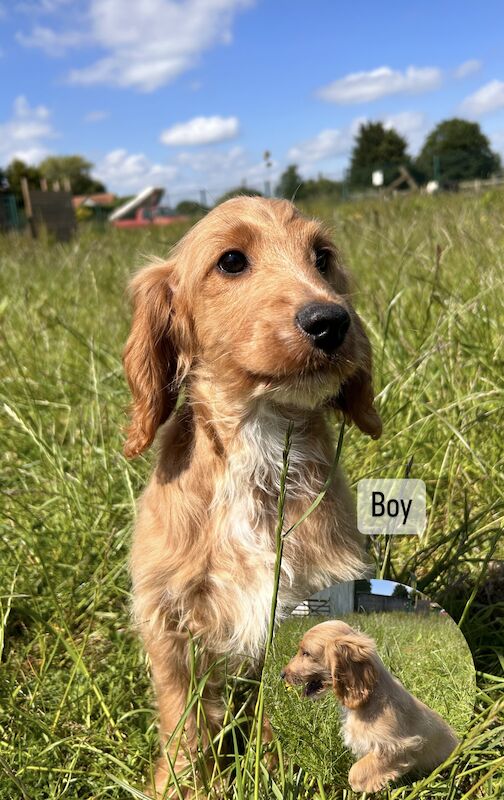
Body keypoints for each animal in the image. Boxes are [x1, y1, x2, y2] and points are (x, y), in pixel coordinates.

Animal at [123, 198, 382, 792]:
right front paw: (181, 786)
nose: (331, 322)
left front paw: (274, 776)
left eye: (323, 257)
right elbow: (183, 717)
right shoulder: (168, 619)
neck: (260, 441)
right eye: (232, 261)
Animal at [282, 620, 458, 792]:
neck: (370, 699)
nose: (281, 674)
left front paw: (364, 786)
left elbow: (356, 771)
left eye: (306, 653)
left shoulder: (400, 746)